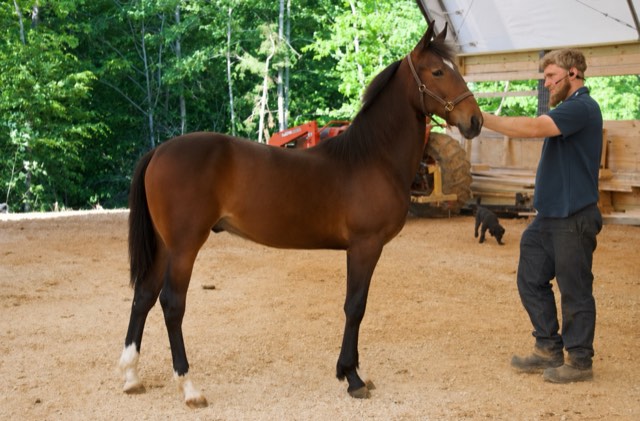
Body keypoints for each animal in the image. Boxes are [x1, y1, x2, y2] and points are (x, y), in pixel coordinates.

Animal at [118, 20, 483, 408]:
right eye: (438, 71)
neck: (371, 157)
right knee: (171, 304)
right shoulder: (364, 247)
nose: (475, 120)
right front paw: (352, 376)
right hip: (185, 246)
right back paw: (189, 386)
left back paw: (131, 376)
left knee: (143, 296)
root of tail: (159, 151)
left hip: (164, 245)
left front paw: (351, 372)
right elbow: (355, 306)